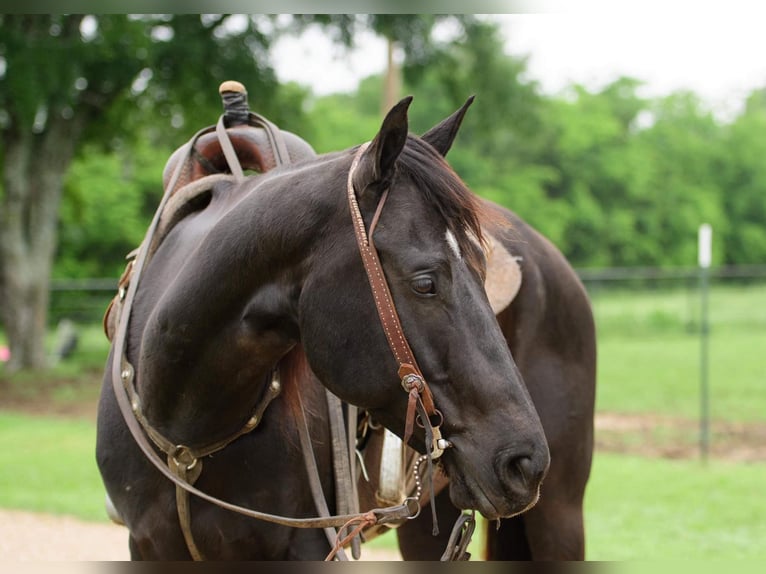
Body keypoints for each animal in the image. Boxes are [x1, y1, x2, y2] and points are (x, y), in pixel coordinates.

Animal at [96, 91, 596, 564]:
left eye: (482, 267)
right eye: (425, 282)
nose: (524, 461)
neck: (190, 434)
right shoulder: (148, 544)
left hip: (559, 514)